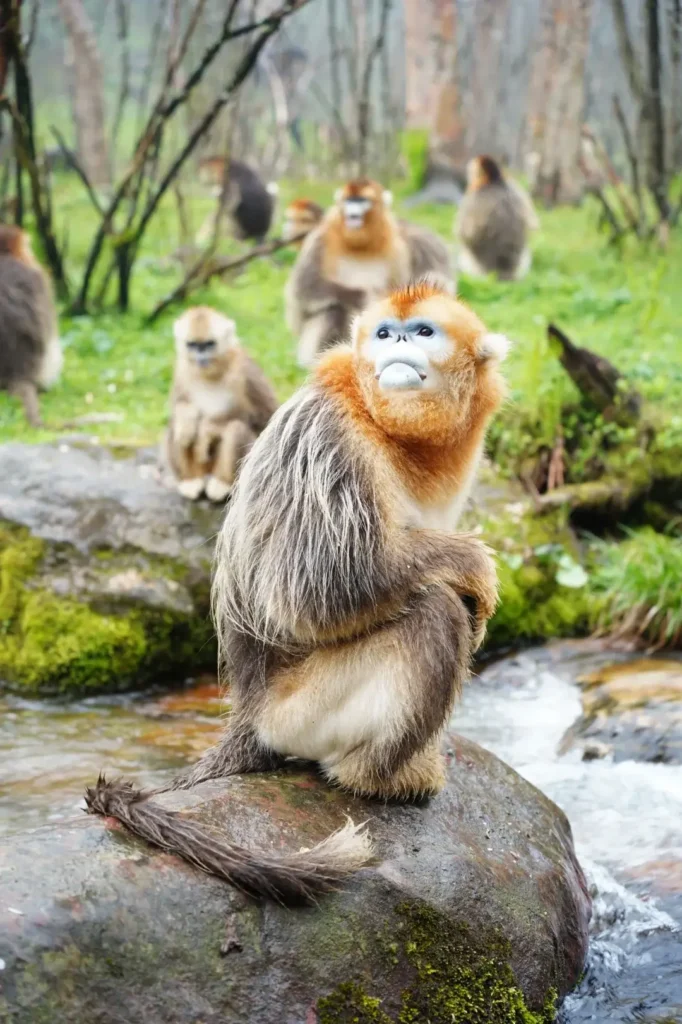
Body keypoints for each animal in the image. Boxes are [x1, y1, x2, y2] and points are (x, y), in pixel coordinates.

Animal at [165, 306, 278, 503]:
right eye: (192, 345)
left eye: (209, 344)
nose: (201, 357)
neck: (211, 373)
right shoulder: (181, 369)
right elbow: (179, 407)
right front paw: (189, 420)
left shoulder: (245, 371)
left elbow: (265, 417)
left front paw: (207, 428)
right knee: (176, 426)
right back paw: (191, 481)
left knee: (236, 428)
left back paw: (221, 484)